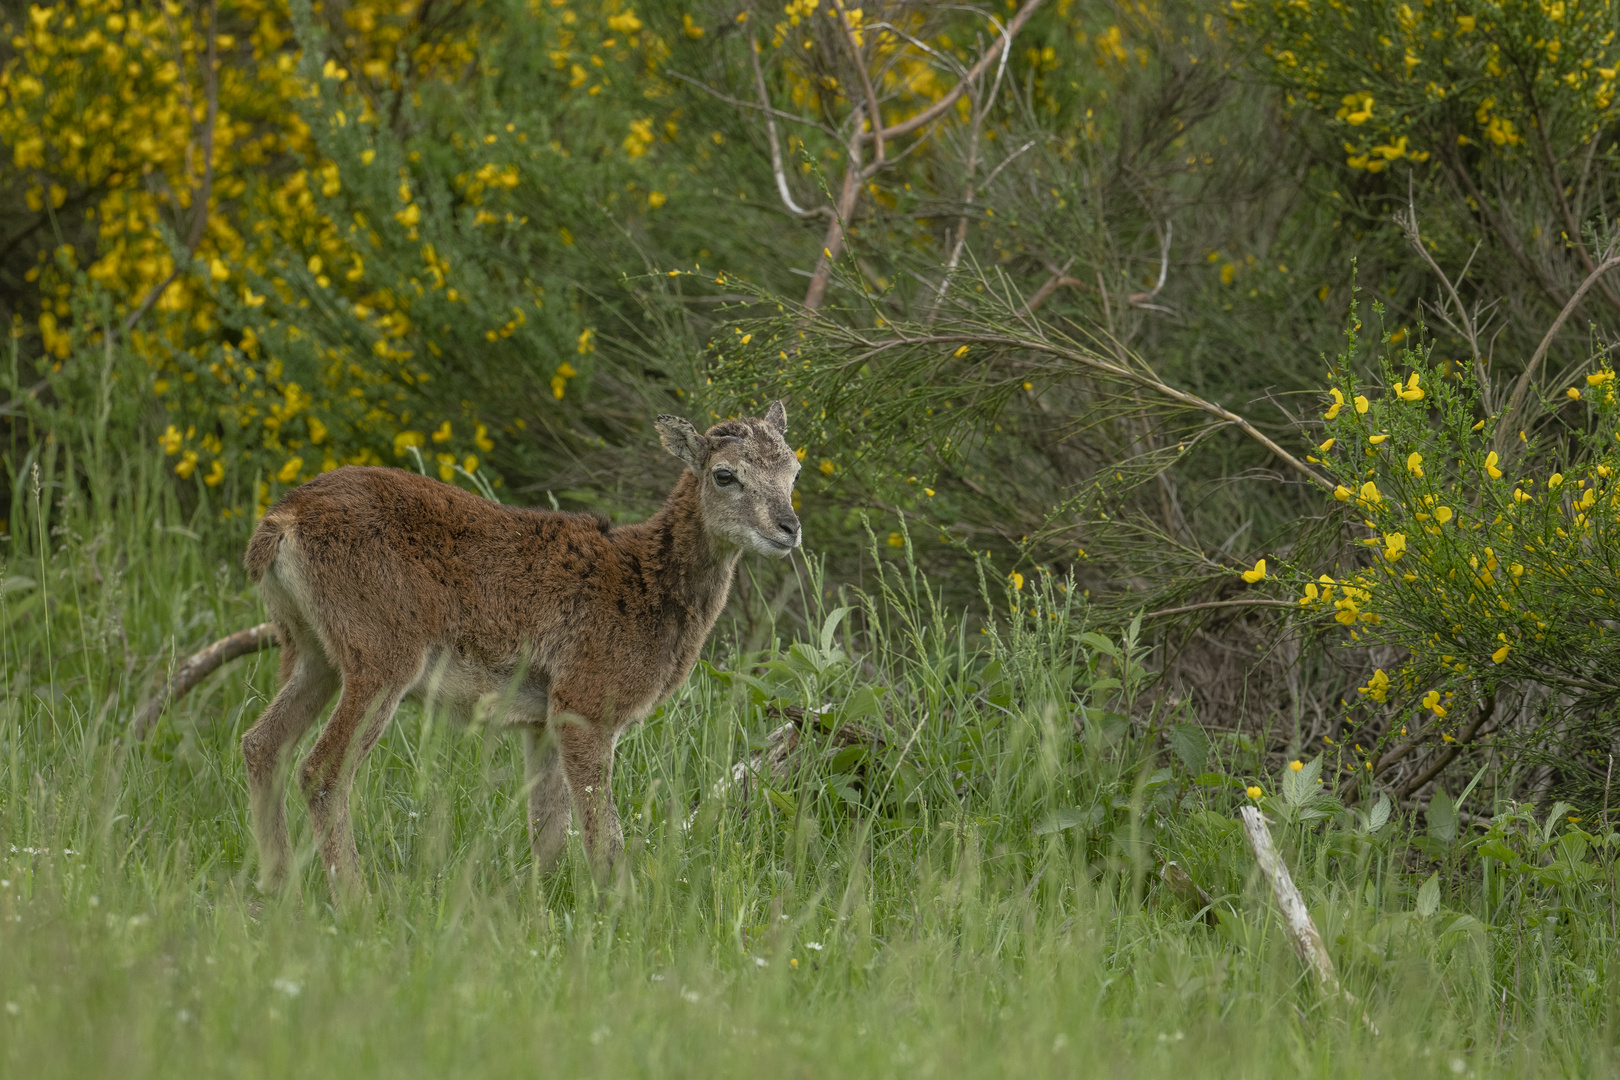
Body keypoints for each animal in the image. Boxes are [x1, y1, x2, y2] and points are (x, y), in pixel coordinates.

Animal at [239, 401, 803, 893]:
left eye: (795, 469)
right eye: (724, 474)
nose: (789, 528)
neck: (648, 585)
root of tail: (280, 524)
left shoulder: (542, 721)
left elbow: (549, 834)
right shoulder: (586, 703)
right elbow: (604, 835)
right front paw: (618, 910)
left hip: (313, 650)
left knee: (262, 743)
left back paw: (279, 885)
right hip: (381, 654)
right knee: (321, 770)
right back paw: (354, 899)